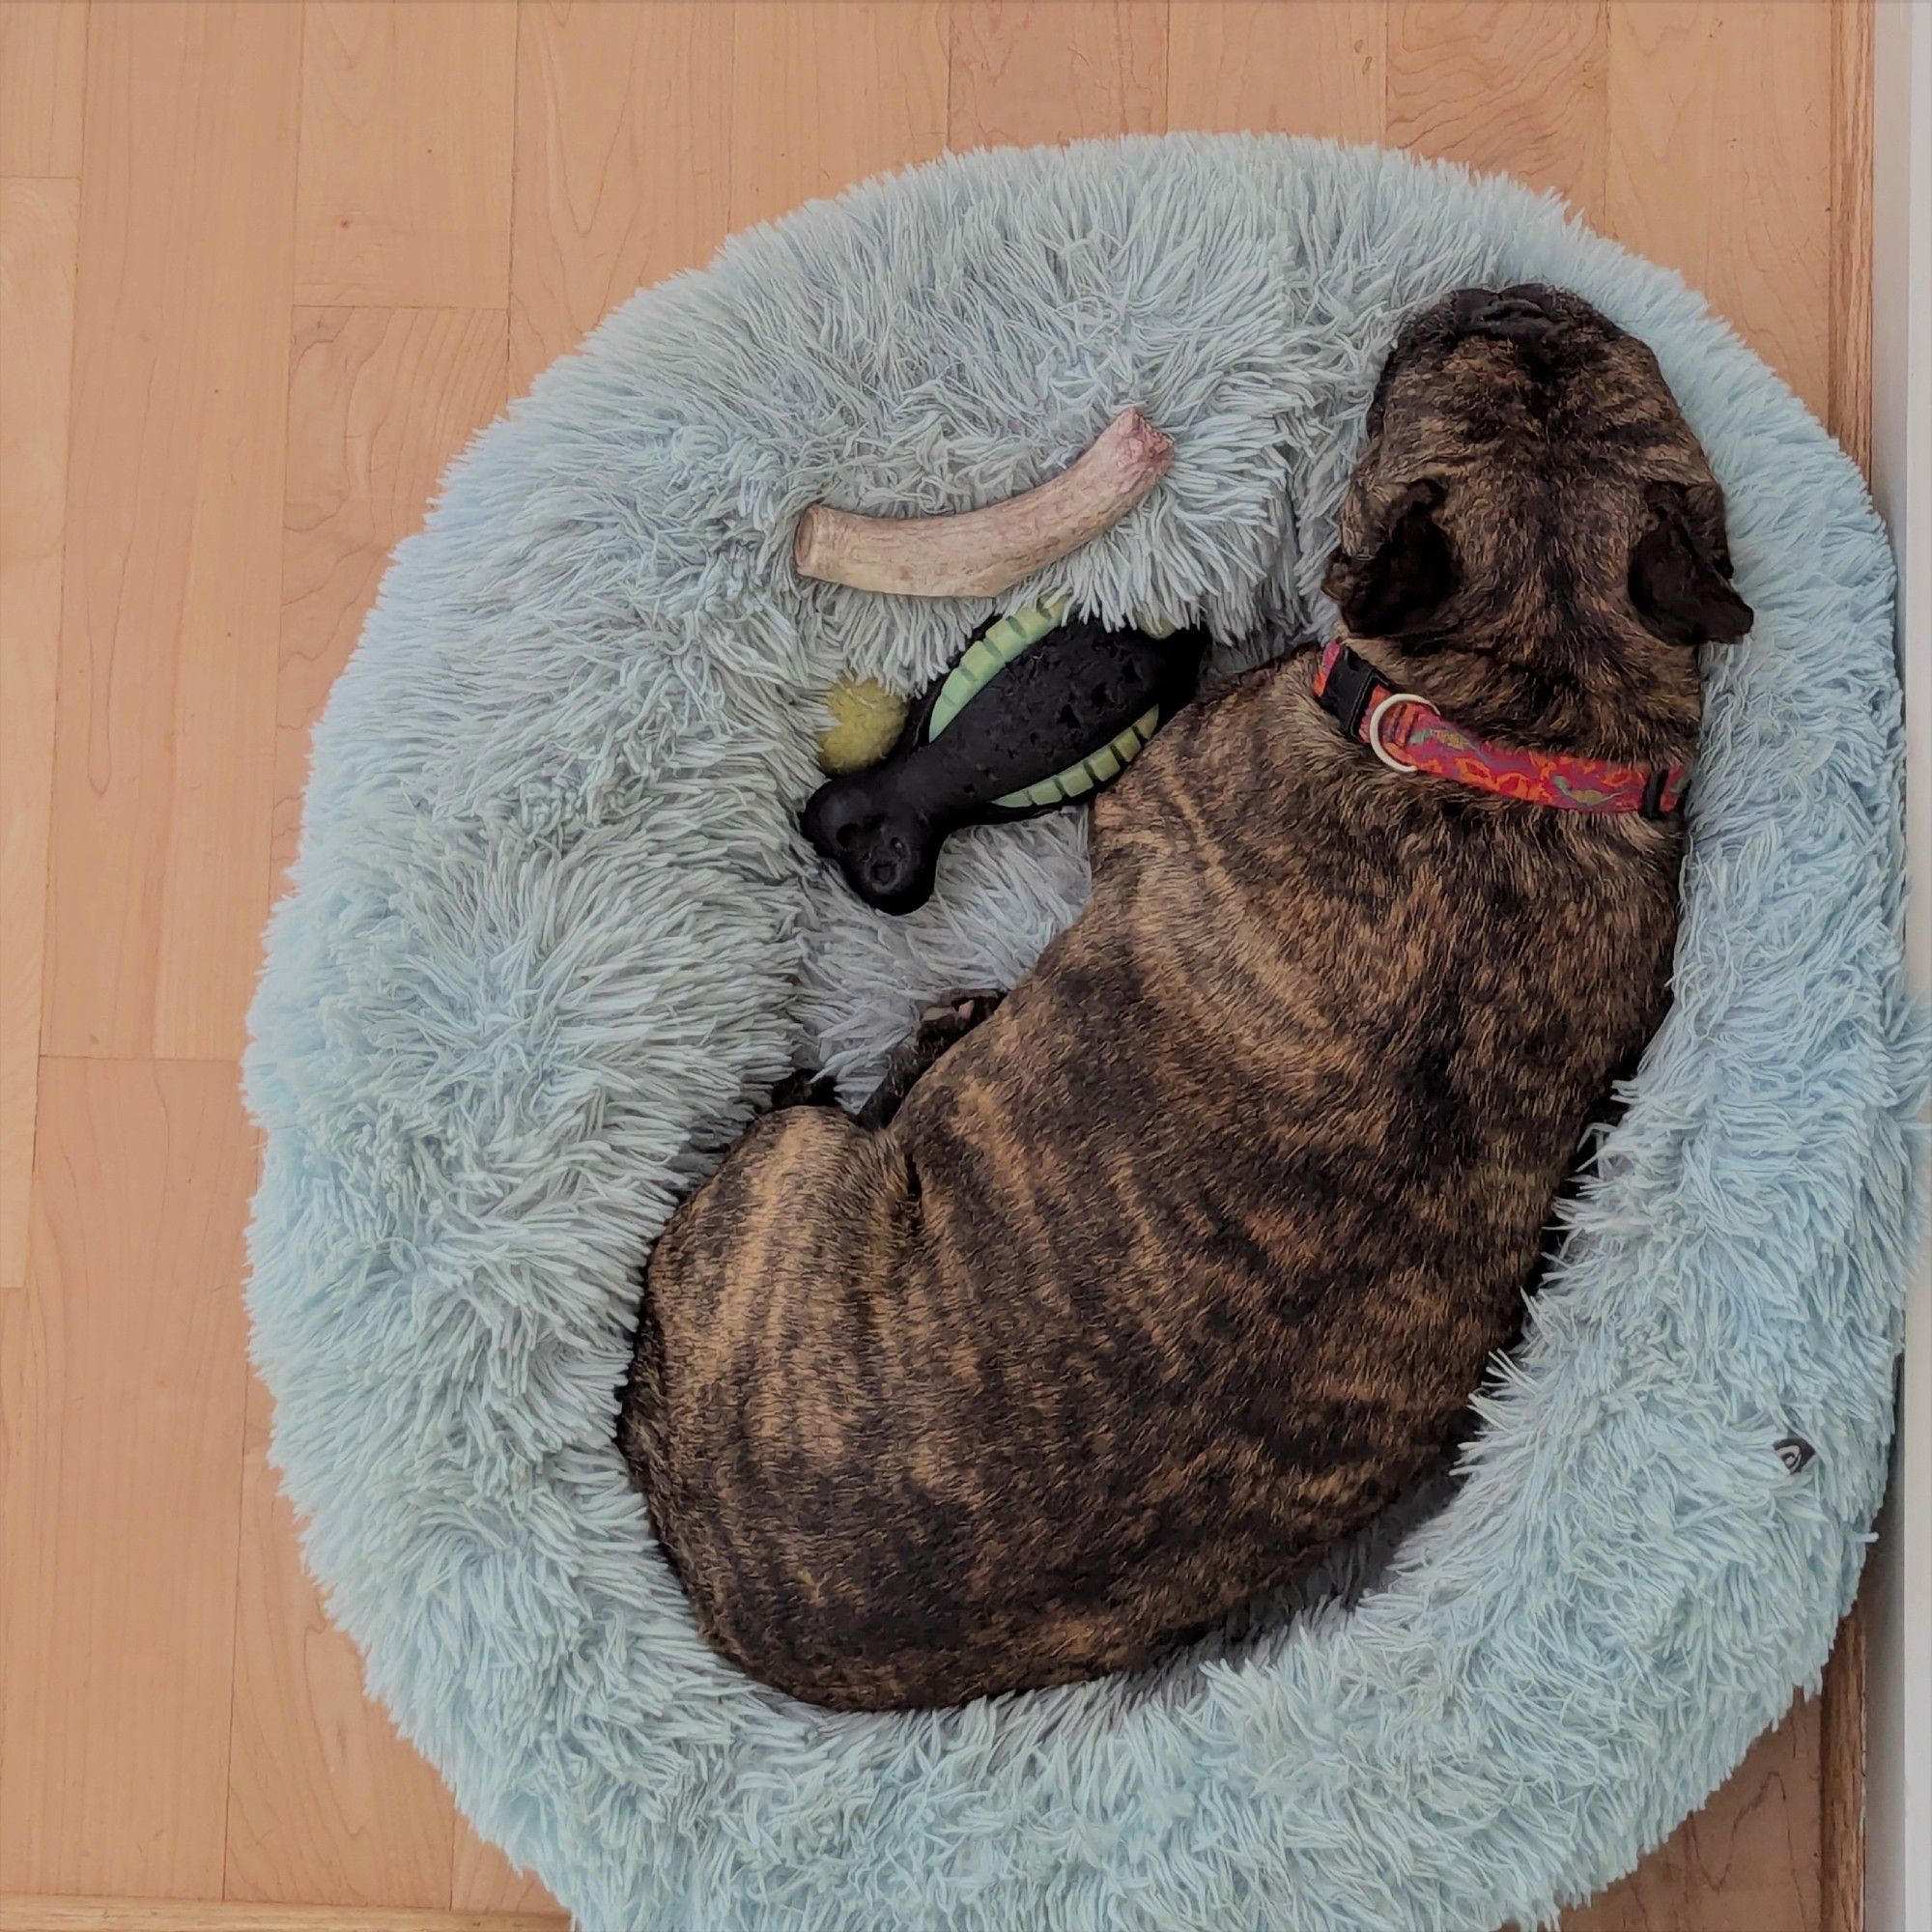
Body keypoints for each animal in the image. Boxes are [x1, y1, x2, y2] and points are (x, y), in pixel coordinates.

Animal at [618, 282, 1754, 1708]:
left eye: (1437, 371)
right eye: (1606, 363)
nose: (1513, 292)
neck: (1519, 726)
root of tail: (706, 1581)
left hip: (785, 1182)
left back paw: (932, 1037)